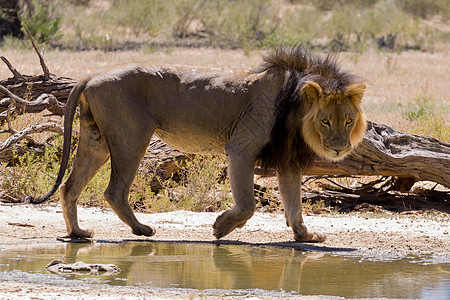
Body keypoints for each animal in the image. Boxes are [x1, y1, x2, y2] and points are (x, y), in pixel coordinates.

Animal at [27, 44, 366, 243]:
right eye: (326, 121)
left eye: (348, 120)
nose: (339, 147)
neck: (296, 102)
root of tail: (92, 74)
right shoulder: (240, 147)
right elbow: (248, 204)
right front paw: (221, 227)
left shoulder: (286, 159)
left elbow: (294, 203)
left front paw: (305, 236)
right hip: (132, 137)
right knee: (114, 191)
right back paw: (141, 229)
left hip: (95, 138)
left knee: (69, 187)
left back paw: (78, 233)